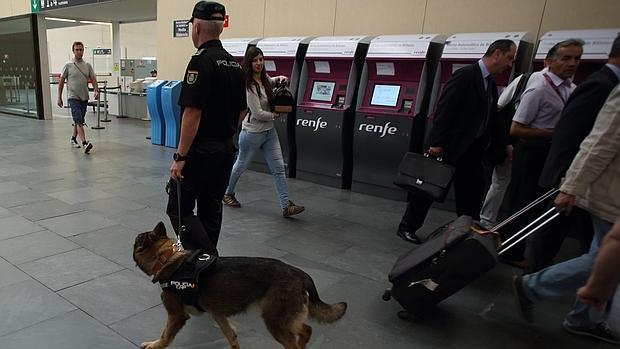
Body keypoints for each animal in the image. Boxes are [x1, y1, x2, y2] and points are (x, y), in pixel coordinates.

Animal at [133, 223, 346, 348]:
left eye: (136, 242)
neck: (168, 259)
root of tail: (300, 273)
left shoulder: (176, 315)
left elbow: (165, 336)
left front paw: (154, 344)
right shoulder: (218, 314)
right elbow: (231, 335)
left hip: (274, 321)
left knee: (294, 341)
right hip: (285, 319)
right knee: (306, 330)